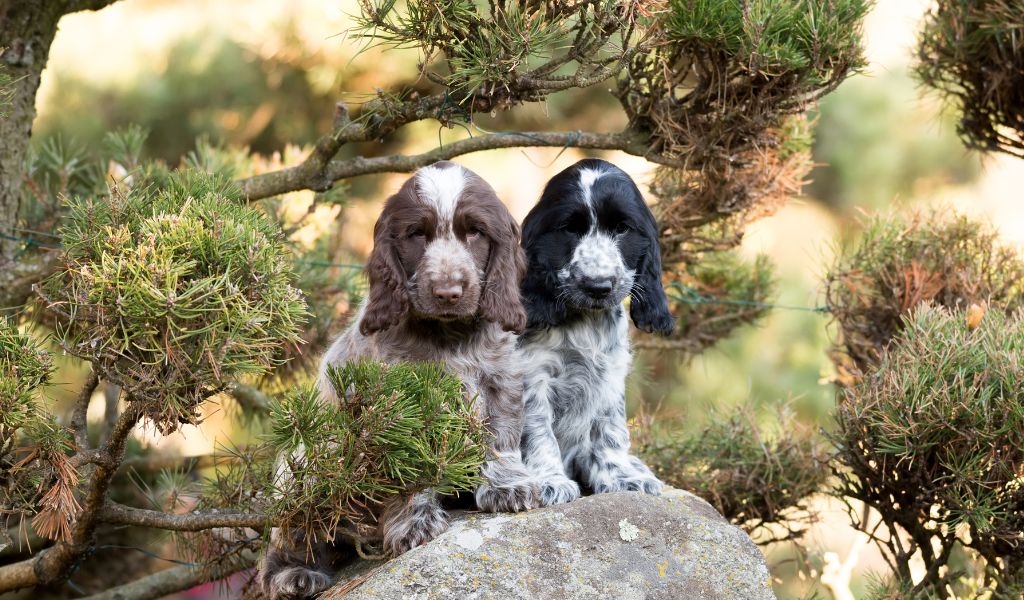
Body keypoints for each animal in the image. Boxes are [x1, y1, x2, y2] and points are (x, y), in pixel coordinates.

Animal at [260, 159, 540, 597]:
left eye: (475, 232)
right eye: (417, 234)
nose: (448, 292)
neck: (448, 334)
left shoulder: (499, 381)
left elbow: (501, 440)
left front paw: (506, 487)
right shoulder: (396, 409)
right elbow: (406, 470)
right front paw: (414, 523)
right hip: (304, 465)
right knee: (288, 540)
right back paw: (295, 575)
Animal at [516, 157, 675, 503]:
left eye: (622, 228)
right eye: (569, 229)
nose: (598, 286)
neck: (585, 321)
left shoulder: (610, 376)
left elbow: (610, 430)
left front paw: (621, 476)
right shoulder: (531, 376)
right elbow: (537, 429)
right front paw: (548, 481)